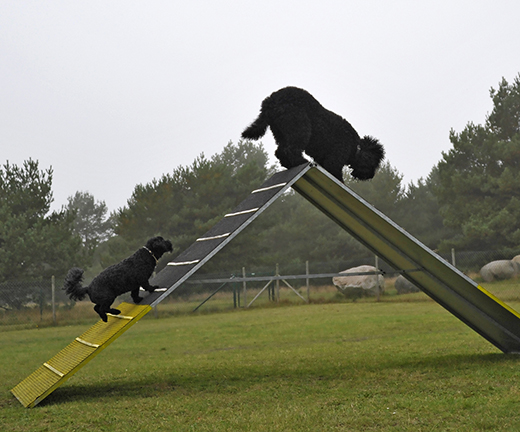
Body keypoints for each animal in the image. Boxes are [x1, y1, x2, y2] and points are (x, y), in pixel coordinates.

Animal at [242, 86, 384, 181]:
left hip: (282, 133)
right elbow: (337, 175)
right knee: (289, 150)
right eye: (374, 162)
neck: (356, 148)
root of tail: (270, 101)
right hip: (300, 128)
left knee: (281, 151)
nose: (371, 176)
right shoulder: (334, 160)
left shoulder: (322, 159)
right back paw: (301, 161)